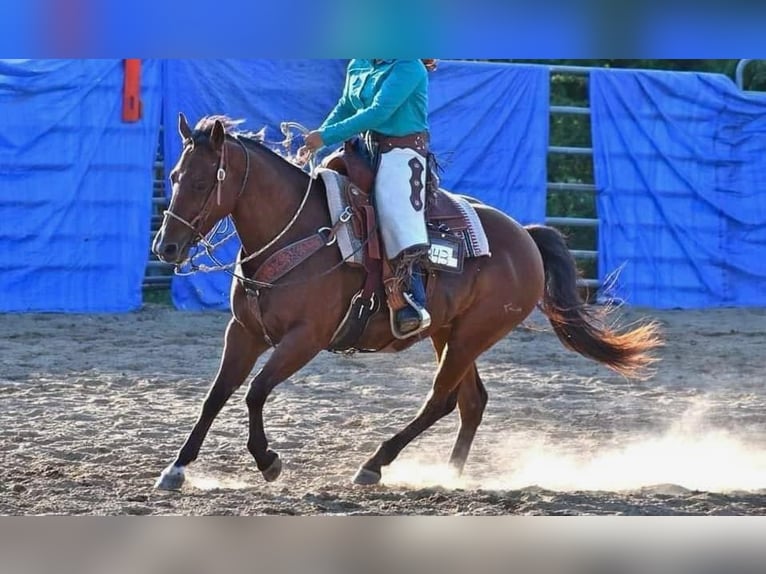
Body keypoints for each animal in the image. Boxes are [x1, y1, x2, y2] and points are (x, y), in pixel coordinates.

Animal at [150, 113, 662, 490]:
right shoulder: (245, 332)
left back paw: (374, 464)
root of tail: (526, 237)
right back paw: (450, 475)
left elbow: (255, 392)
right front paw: (176, 468)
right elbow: (215, 396)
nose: (166, 247)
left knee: (442, 400)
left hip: (473, 334)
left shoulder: (305, 339)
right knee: (471, 402)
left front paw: (268, 461)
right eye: (174, 176)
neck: (299, 232)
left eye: (201, 183)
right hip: (448, 331)